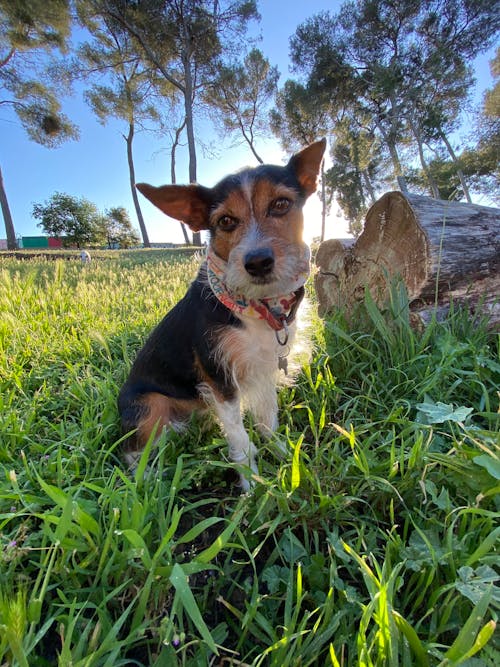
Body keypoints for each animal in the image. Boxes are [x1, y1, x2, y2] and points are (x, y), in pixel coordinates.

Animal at [118, 140, 326, 490]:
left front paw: (286, 458)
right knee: (132, 451)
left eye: (281, 204)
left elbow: (268, 420)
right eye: (226, 221)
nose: (257, 262)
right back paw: (149, 481)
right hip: (149, 406)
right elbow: (240, 439)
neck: (257, 308)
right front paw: (252, 486)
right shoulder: (220, 380)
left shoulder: (265, 369)